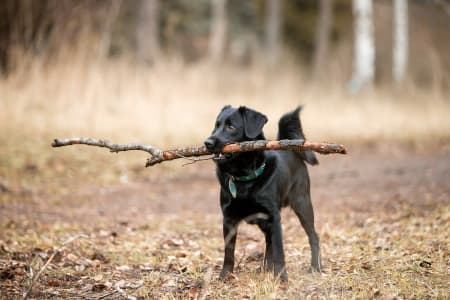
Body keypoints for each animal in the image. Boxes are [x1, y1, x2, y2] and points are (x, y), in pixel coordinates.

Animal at [206, 105, 322, 282]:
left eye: (231, 127)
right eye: (216, 125)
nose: (207, 142)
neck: (244, 178)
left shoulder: (274, 217)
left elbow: (279, 251)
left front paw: (281, 278)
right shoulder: (229, 219)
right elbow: (229, 252)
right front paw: (225, 276)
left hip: (302, 204)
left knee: (313, 237)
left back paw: (316, 267)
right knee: (268, 241)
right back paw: (266, 267)